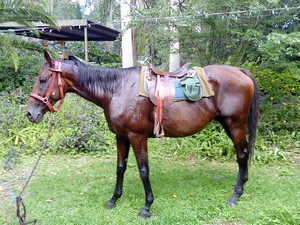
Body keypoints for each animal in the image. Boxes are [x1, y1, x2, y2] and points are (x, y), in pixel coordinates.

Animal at [25, 51, 258, 218]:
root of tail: (239, 71)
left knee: (242, 155)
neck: (117, 90)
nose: (30, 113)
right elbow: (120, 168)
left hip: (235, 125)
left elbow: (143, 170)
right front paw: (114, 199)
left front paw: (147, 206)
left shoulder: (137, 136)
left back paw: (235, 196)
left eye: (43, 79)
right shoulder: (121, 136)